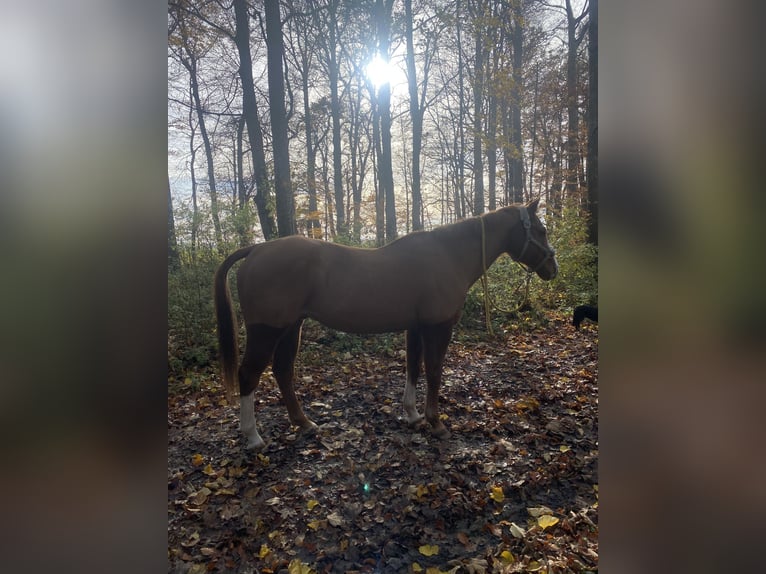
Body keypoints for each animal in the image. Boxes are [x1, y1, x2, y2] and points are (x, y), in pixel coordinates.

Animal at [214, 199, 558, 450]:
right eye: (541, 230)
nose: (553, 268)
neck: (448, 255)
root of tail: (256, 249)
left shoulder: (416, 327)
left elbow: (413, 368)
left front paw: (414, 415)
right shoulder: (438, 327)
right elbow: (434, 372)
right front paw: (436, 423)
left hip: (291, 327)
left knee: (283, 372)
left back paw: (305, 424)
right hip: (266, 330)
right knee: (249, 375)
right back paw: (253, 437)